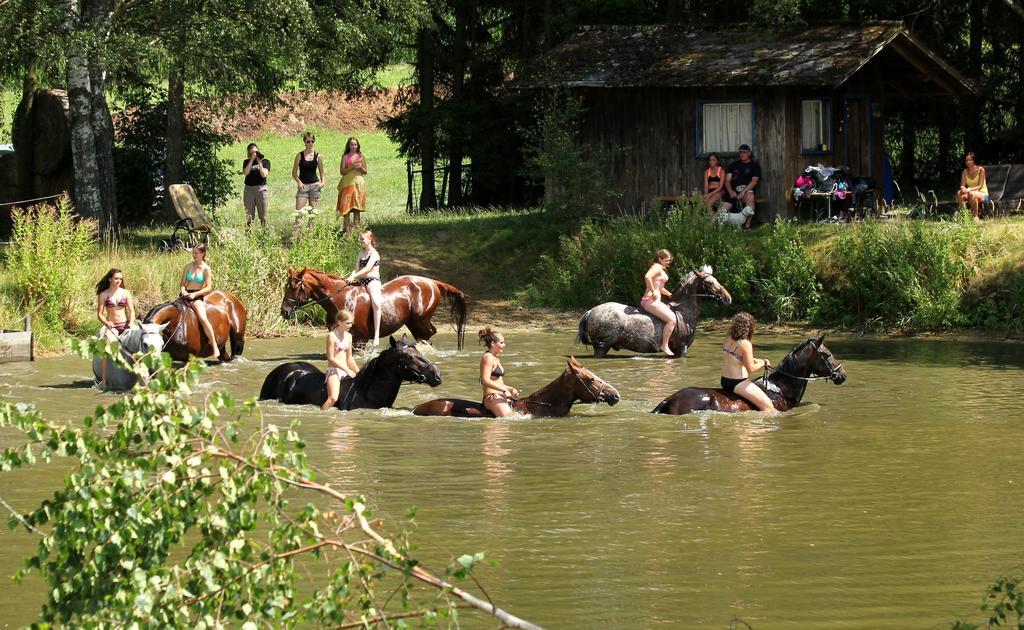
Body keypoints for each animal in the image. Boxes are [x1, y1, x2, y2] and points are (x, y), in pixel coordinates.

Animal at [282, 268, 468, 350]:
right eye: (286, 286)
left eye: (295, 287)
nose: (284, 311)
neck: (339, 300)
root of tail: (432, 282)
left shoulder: (360, 340)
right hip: (413, 322)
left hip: (420, 320)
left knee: (427, 336)